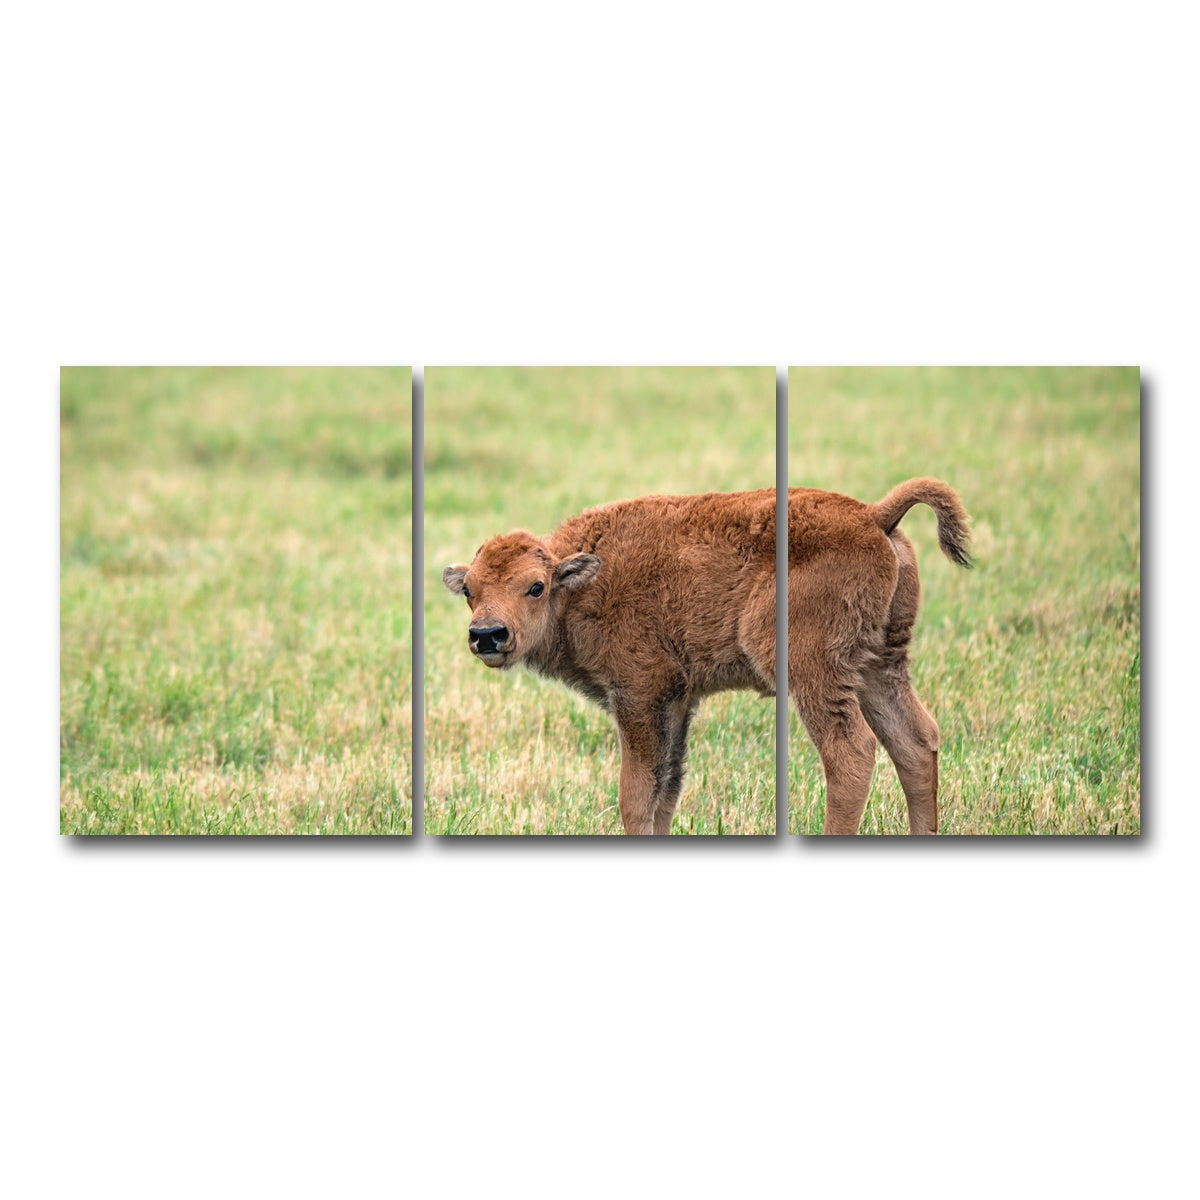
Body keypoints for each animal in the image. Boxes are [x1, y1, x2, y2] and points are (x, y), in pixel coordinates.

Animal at [442, 479, 969, 835]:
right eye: (470, 590)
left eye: (535, 586)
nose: (487, 634)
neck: (580, 582)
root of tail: (873, 515)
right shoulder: (677, 701)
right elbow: (666, 790)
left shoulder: (639, 694)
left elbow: (637, 794)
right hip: (879, 665)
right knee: (915, 741)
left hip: (814, 671)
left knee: (851, 752)